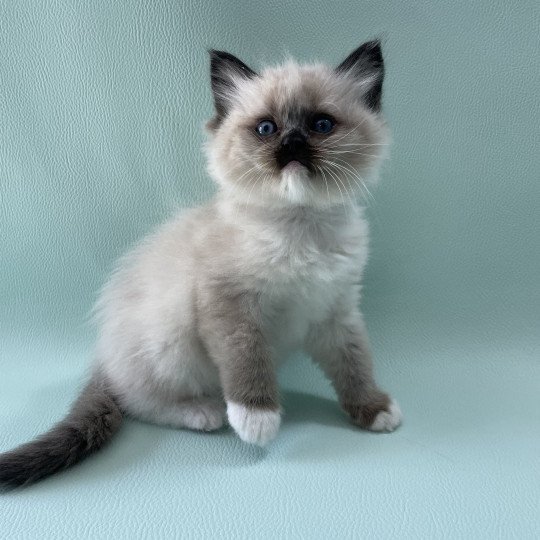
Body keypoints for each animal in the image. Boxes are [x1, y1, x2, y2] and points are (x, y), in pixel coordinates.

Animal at [0, 40, 400, 490]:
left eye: (321, 124)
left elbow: (355, 364)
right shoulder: (230, 305)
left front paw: (374, 409)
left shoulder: (336, 312)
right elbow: (247, 361)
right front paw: (257, 419)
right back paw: (204, 413)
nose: (292, 145)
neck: (299, 228)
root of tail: (103, 357)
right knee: (138, 401)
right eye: (266, 128)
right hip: (170, 331)